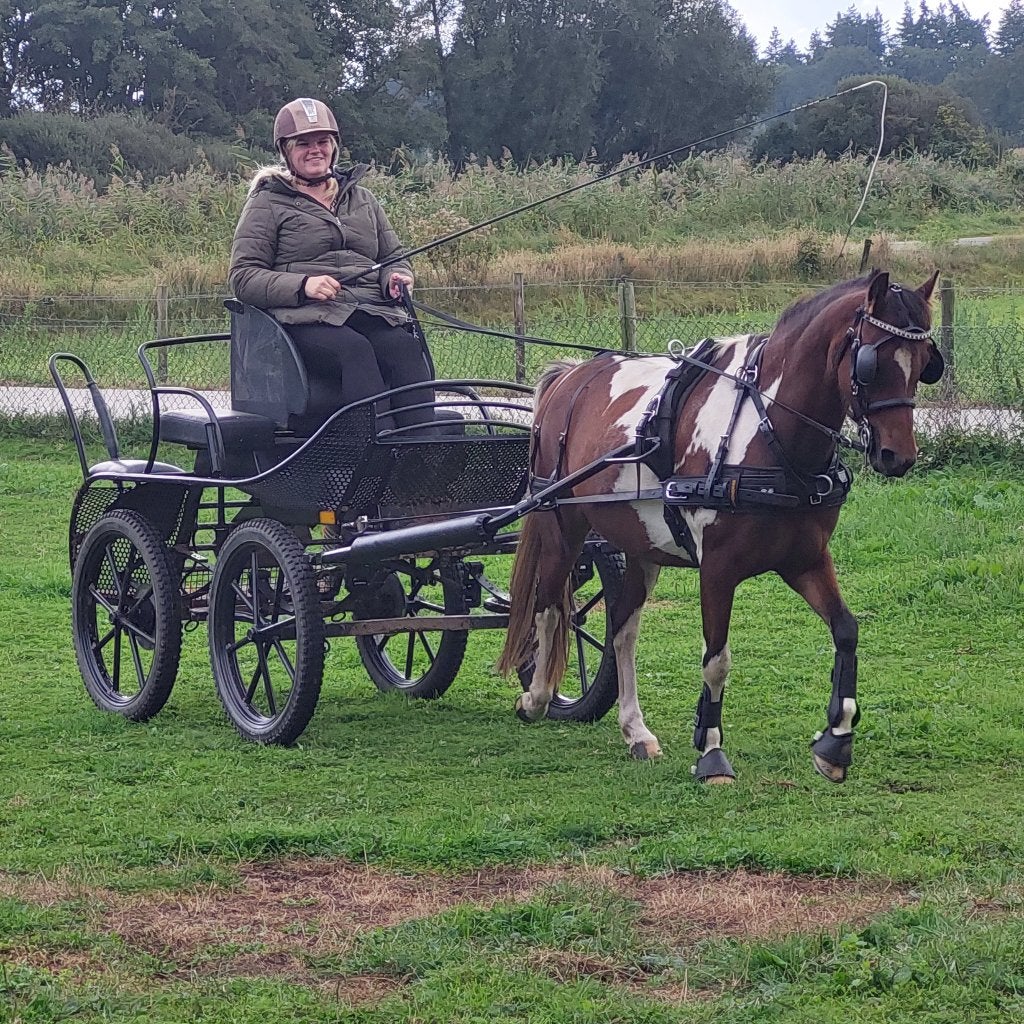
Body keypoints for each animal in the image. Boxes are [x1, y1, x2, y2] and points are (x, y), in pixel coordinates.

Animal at [497, 270, 944, 784]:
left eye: (926, 362)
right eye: (870, 359)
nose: (898, 456)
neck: (770, 432)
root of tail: (569, 377)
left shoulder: (806, 560)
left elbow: (846, 630)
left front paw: (836, 741)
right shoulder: (717, 569)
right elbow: (716, 660)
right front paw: (711, 753)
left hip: (642, 545)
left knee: (622, 630)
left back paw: (635, 730)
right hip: (561, 528)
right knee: (551, 606)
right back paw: (537, 698)